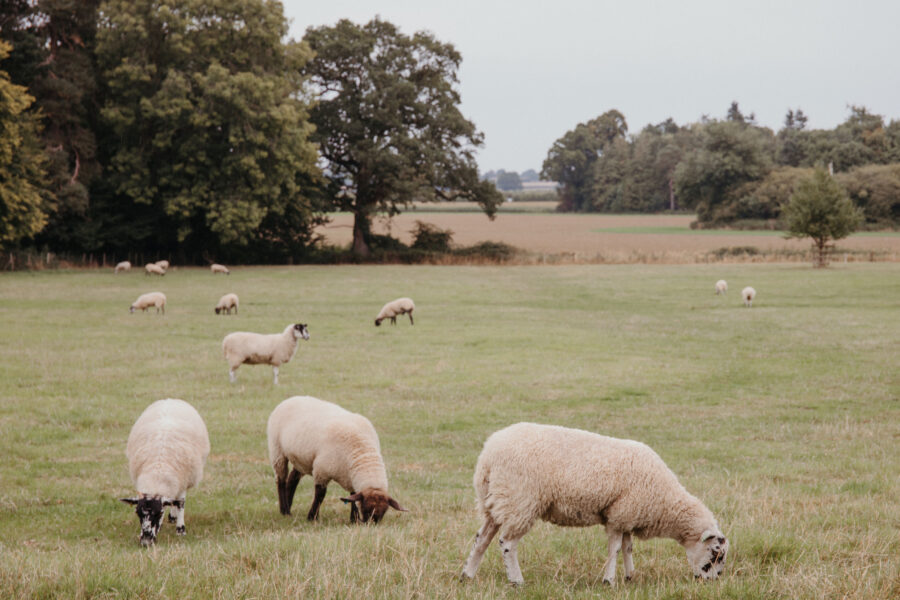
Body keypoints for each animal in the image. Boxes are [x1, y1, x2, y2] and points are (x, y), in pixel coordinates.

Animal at [120, 398, 210, 546]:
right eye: (138, 513)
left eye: (158, 513)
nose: (146, 541)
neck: (158, 472)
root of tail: (171, 400)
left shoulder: (183, 479)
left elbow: (180, 503)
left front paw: (180, 529)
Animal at [267, 395, 406, 524]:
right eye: (366, 509)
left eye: (384, 511)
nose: (371, 524)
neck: (362, 451)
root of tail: (290, 398)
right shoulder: (321, 470)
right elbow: (320, 495)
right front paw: (312, 517)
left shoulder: (349, 476)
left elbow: (352, 496)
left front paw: (354, 519)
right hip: (277, 451)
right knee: (281, 480)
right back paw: (284, 510)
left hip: (302, 459)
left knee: (292, 479)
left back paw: (289, 508)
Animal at [461, 423, 728, 587]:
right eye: (716, 554)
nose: (713, 582)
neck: (666, 501)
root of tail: (487, 455)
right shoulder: (619, 516)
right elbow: (615, 549)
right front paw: (609, 581)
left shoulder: (625, 514)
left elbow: (627, 547)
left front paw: (630, 576)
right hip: (520, 500)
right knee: (507, 543)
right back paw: (516, 580)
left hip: (496, 501)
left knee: (481, 539)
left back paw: (467, 574)